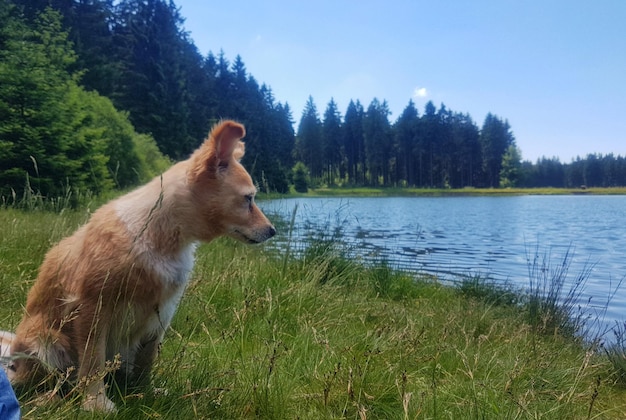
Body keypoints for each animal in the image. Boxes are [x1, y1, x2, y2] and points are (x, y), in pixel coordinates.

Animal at [0, 120, 276, 412]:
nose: (273, 231)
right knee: (43, 381)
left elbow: (147, 360)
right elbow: (93, 362)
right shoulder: (94, 308)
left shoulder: (161, 312)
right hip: (46, 343)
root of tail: (14, 364)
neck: (164, 235)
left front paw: (146, 393)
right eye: (248, 199)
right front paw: (96, 402)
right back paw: (49, 396)